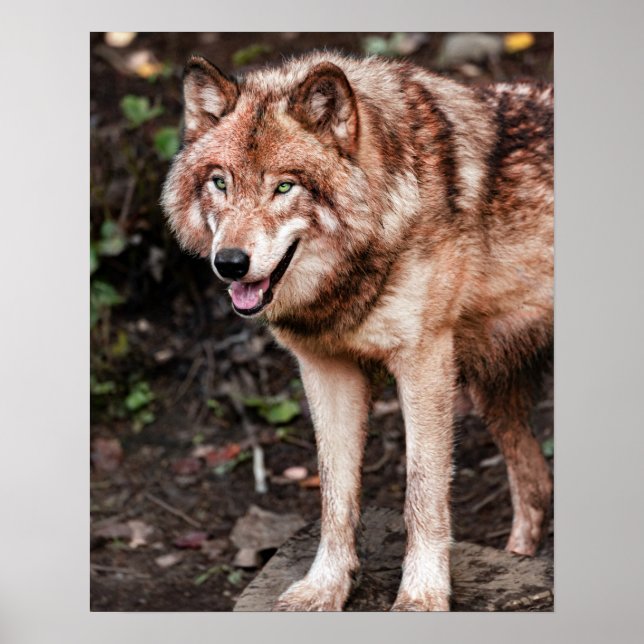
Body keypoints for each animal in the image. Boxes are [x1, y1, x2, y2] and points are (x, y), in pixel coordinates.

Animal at [162, 51, 553, 611]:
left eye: (285, 186)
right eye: (221, 182)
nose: (230, 263)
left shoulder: (425, 364)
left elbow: (422, 491)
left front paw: (422, 595)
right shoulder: (325, 370)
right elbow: (336, 493)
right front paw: (325, 587)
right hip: (492, 390)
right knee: (537, 484)